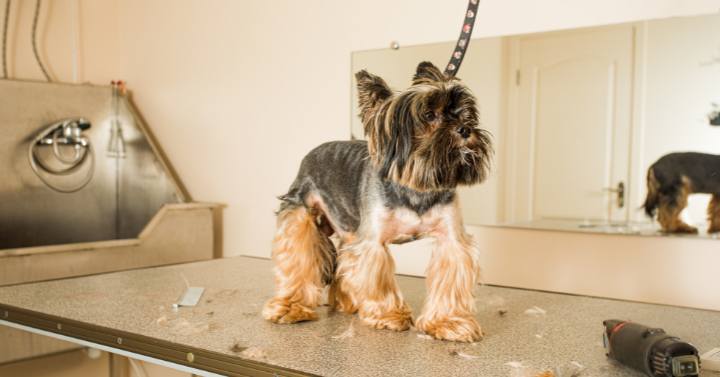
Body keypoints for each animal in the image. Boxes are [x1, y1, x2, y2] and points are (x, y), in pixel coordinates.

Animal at [262, 61, 492, 340]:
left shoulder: (451, 238)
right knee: (298, 257)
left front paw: (448, 322)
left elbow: (451, 275)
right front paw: (389, 315)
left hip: (348, 227)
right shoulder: (372, 241)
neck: (414, 187)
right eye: (429, 115)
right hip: (301, 212)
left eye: (464, 114)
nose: (465, 129)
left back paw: (347, 302)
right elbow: (376, 277)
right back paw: (290, 307)